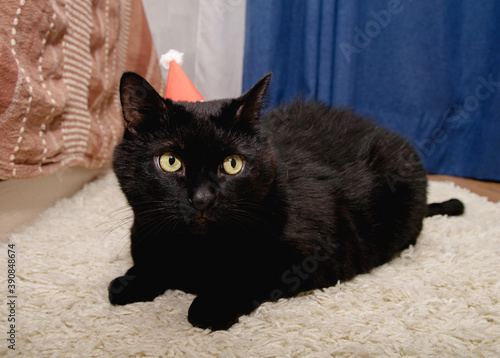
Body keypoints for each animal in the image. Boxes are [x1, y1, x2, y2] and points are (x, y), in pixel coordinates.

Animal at [109, 72, 464, 330]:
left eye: (233, 164)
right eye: (170, 161)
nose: (202, 199)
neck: (196, 250)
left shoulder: (317, 254)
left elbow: (251, 275)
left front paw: (210, 306)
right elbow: (149, 263)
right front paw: (130, 283)